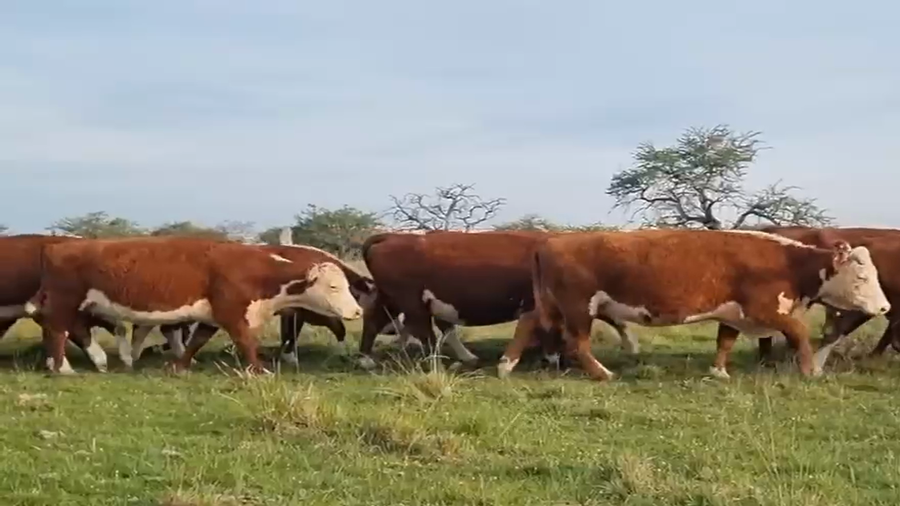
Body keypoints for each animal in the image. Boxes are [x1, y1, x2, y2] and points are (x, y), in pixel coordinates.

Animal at [23, 236, 363, 374]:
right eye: (334, 286)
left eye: (346, 286)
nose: (358, 311)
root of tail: (56, 246)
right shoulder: (232, 313)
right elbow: (246, 342)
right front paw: (259, 370)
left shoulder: (213, 317)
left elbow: (196, 341)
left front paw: (179, 366)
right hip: (65, 301)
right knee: (57, 331)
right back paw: (63, 368)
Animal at [356, 230, 640, 371]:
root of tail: (393, 236)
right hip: (409, 299)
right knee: (424, 331)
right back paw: (437, 362)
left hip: (392, 298)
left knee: (376, 319)